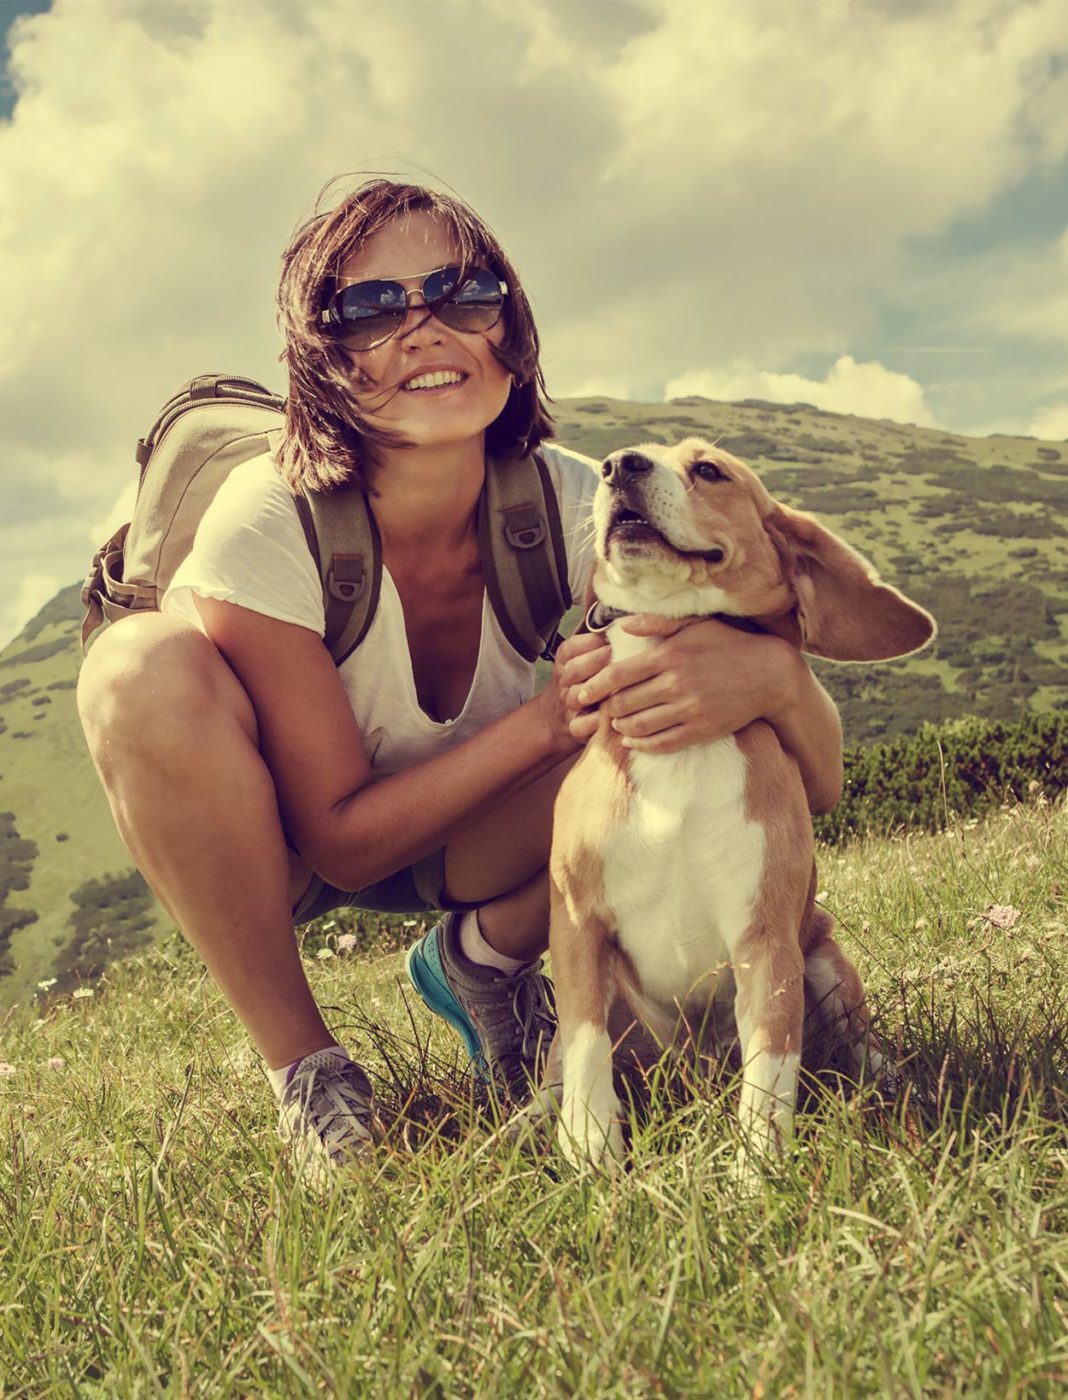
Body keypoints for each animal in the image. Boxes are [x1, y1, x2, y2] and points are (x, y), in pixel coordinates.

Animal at [551, 436, 935, 1181]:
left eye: (709, 470)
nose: (620, 464)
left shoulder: (766, 939)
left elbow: (770, 1071)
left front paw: (757, 1176)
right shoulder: (579, 923)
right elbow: (584, 1046)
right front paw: (590, 1151)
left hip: (824, 958)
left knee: (858, 1038)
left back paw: (893, 1084)